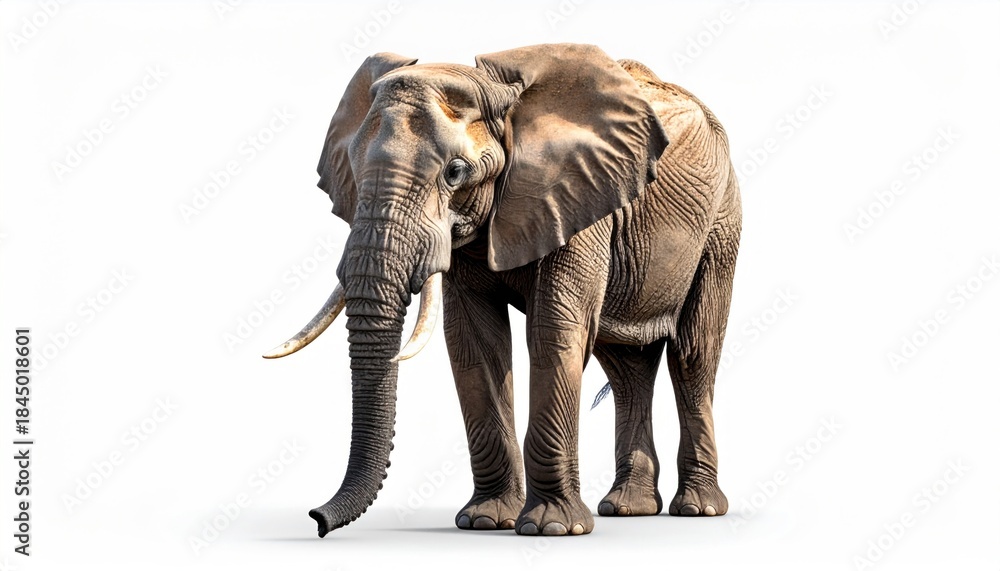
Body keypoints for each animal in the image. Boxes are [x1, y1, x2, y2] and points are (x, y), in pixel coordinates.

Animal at [264, 43, 741, 537]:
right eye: (353, 173)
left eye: (455, 172)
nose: (317, 520)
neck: (498, 93)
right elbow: (474, 342)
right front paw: (485, 521)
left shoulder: (577, 196)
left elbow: (554, 332)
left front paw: (552, 529)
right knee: (627, 367)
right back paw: (628, 509)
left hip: (721, 221)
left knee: (694, 355)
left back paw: (698, 509)